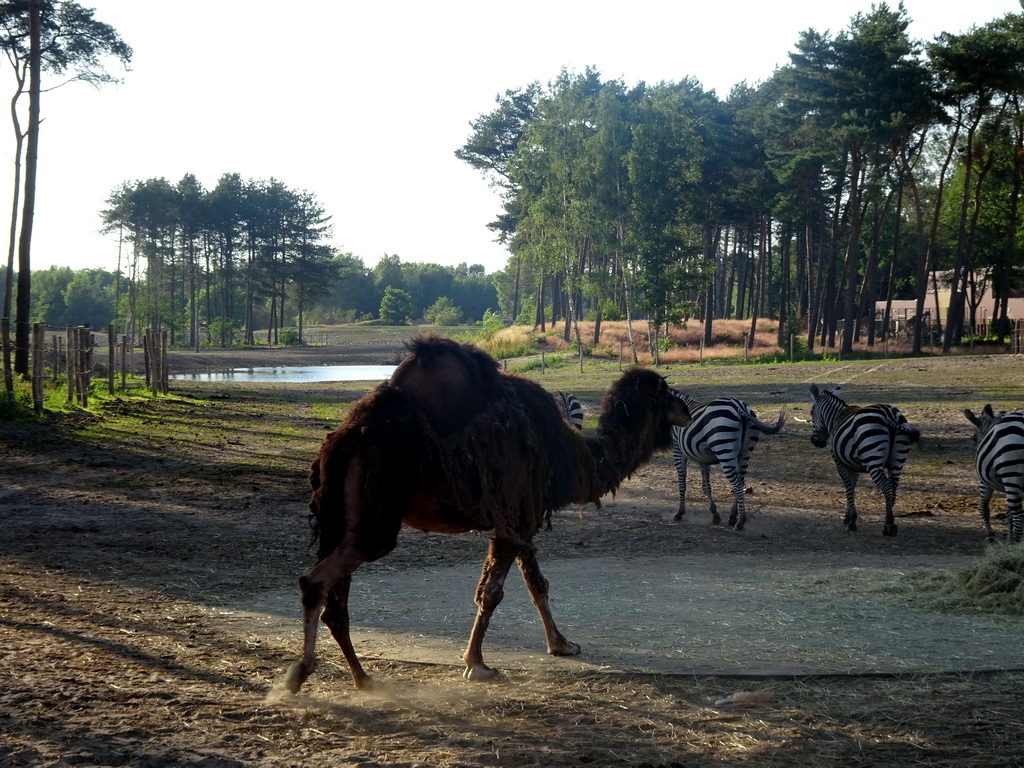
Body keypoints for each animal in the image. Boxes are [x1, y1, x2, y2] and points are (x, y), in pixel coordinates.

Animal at [284, 335, 692, 692]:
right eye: (665, 392)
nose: (687, 410)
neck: (572, 456)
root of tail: (341, 441)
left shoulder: (522, 518)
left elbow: (537, 585)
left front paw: (561, 645)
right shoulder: (516, 516)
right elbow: (493, 592)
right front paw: (477, 664)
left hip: (344, 520)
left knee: (335, 601)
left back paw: (362, 678)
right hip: (374, 521)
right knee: (317, 583)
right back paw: (301, 675)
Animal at [671, 391, 782, 528]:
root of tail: (738, 405)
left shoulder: (677, 450)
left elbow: (682, 483)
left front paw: (679, 513)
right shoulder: (702, 457)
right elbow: (706, 486)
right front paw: (714, 514)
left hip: (724, 449)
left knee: (737, 484)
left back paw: (740, 522)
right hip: (745, 452)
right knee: (741, 482)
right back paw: (733, 516)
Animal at [806, 382, 921, 536]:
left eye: (811, 413)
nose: (815, 441)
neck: (835, 417)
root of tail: (888, 414)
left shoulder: (840, 462)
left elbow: (848, 487)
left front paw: (851, 521)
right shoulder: (852, 463)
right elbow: (852, 487)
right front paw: (848, 516)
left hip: (872, 459)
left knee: (886, 486)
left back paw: (889, 525)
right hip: (897, 460)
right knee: (893, 486)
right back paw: (889, 519)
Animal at [958, 405, 1024, 544]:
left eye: (973, 438)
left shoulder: (984, 483)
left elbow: (984, 508)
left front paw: (991, 535)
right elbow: (1008, 514)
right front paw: (1008, 539)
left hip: (1011, 477)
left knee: (1018, 515)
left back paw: (1017, 543)